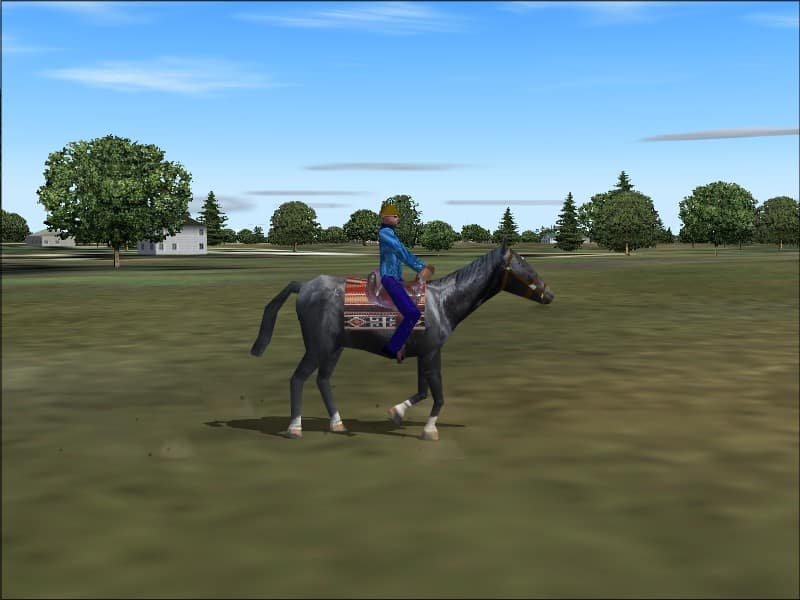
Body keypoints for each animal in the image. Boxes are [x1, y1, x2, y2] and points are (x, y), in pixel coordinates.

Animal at [250, 239, 554, 441]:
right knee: (298, 379)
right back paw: (295, 428)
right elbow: (437, 394)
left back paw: (337, 423)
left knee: (323, 381)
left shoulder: (423, 354)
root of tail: (304, 286)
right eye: (522, 263)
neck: (443, 302)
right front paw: (429, 429)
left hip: (334, 349)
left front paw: (397, 412)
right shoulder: (431, 353)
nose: (549, 294)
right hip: (317, 348)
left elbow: (422, 391)